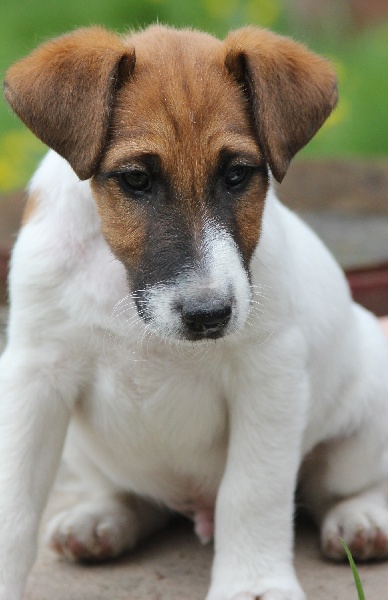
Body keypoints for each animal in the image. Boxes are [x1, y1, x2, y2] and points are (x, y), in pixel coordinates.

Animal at [2, 23, 388, 600]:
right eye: (136, 179)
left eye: (238, 175)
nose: (209, 315)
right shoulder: (35, 374)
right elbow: (16, 504)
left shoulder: (268, 377)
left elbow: (252, 492)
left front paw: (253, 584)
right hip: (81, 448)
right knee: (136, 494)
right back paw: (101, 519)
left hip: (363, 417)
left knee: (344, 486)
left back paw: (361, 518)